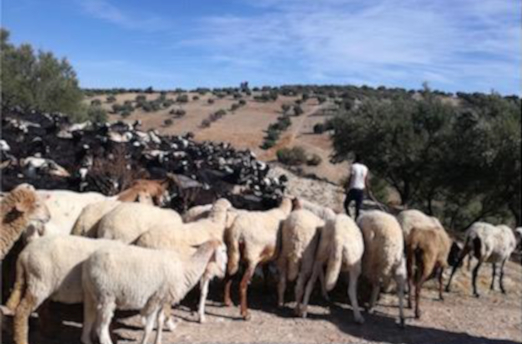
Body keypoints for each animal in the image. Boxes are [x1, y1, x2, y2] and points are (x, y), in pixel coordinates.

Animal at [81, 239, 225, 344]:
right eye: (224, 250)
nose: (224, 273)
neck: (185, 267)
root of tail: (90, 262)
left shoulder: (162, 299)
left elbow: (160, 321)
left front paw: (158, 341)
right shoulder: (155, 298)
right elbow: (149, 327)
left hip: (92, 293)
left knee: (89, 316)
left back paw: (86, 340)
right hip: (107, 295)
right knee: (102, 330)